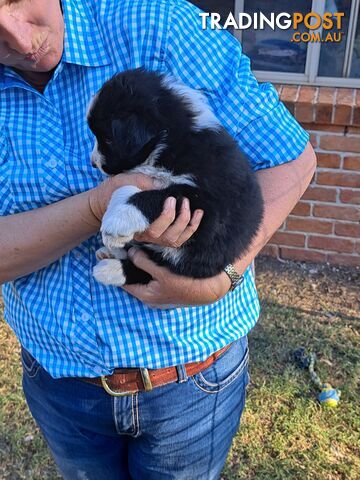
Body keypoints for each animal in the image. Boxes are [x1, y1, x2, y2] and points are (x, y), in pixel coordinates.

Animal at [86, 69, 262, 286]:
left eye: (108, 139)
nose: (93, 163)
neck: (169, 147)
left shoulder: (210, 209)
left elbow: (158, 195)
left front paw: (117, 222)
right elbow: (123, 189)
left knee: (151, 267)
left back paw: (110, 269)